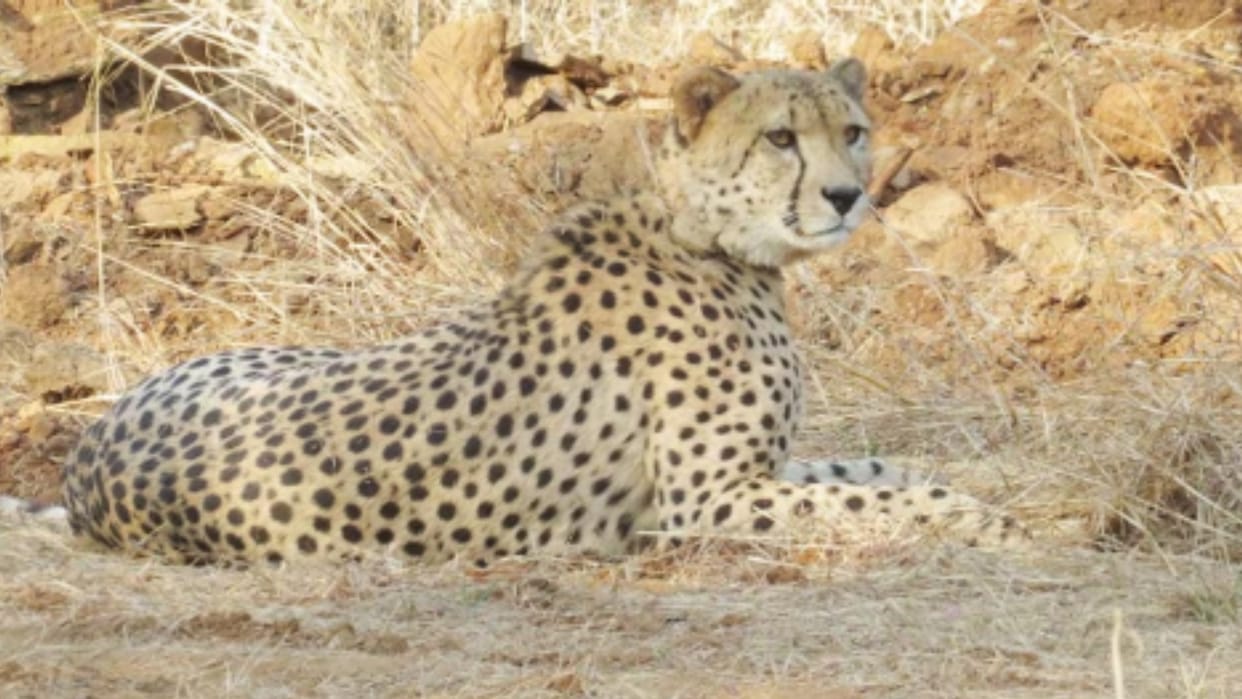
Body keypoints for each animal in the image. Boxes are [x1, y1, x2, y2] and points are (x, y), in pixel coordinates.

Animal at [56, 59, 1025, 567]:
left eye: (852, 130)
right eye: (780, 138)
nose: (847, 195)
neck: (705, 236)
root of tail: (83, 461)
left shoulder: (759, 470)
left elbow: (873, 468)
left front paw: (971, 492)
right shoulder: (702, 500)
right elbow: (872, 500)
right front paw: (978, 519)